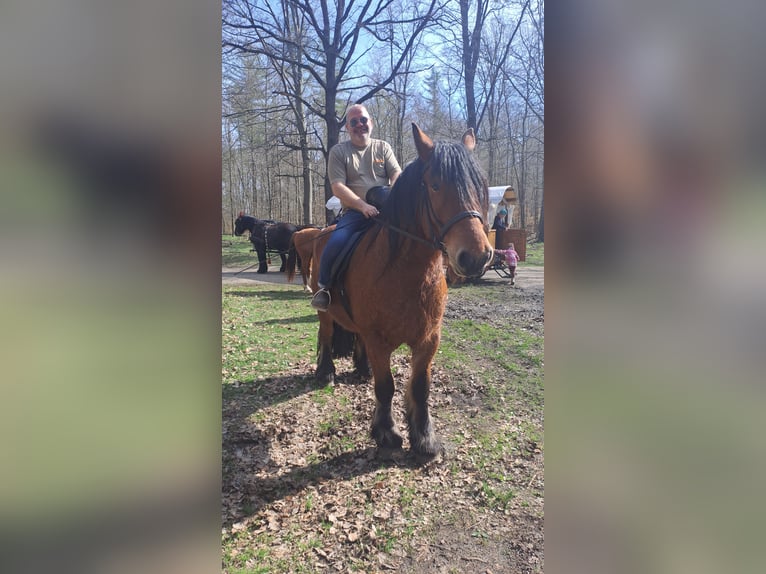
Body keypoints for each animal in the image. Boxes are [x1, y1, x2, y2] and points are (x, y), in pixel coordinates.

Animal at [288, 124, 492, 458]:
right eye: (435, 185)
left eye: (481, 186)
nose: (476, 257)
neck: (407, 273)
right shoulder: (378, 339)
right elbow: (386, 387)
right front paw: (386, 433)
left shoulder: (429, 339)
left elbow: (420, 387)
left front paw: (424, 438)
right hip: (325, 312)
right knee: (327, 335)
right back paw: (327, 371)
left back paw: (362, 368)